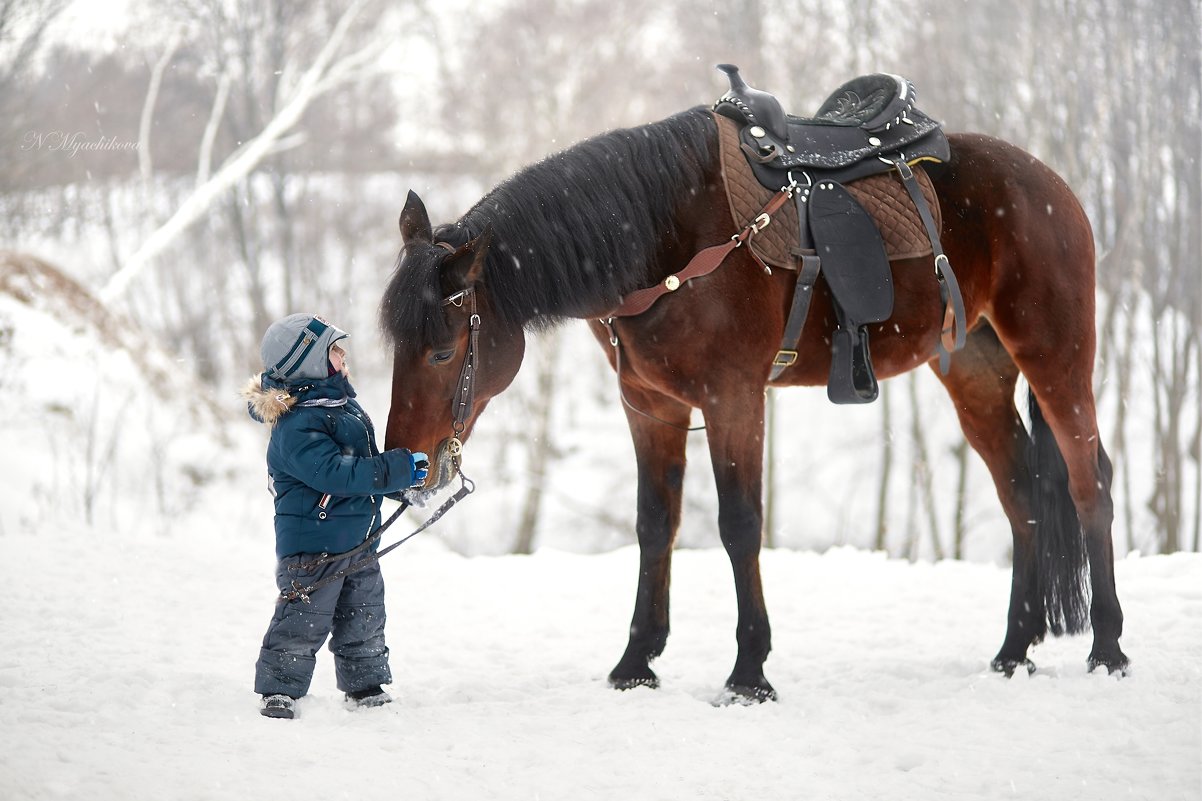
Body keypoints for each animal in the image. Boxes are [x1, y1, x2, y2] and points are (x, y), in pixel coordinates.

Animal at [377, 101, 1125, 697]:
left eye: (441, 352)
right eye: (394, 344)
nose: (407, 465)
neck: (664, 239)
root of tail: (1050, 181)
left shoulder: (733, 400)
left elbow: (739, 525)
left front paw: (749, 672)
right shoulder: (650, 406)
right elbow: (656, 524)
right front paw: (636, 663)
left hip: (1056, 355)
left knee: (1089, 482)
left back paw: (1109, 647)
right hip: (975, 371)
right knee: (1023, 493)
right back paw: (1013, 651)